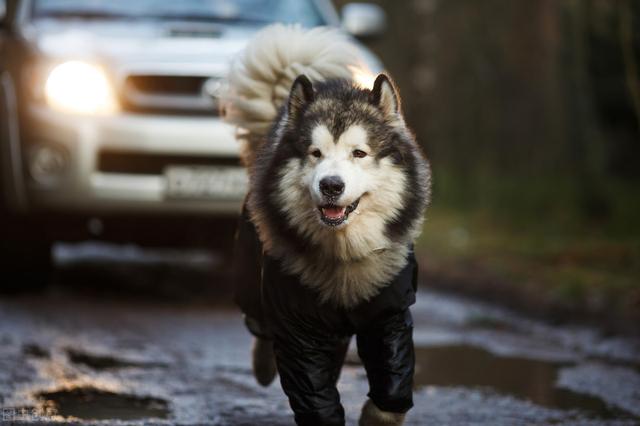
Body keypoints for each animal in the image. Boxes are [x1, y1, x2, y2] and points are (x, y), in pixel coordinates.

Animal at [222, 25, 432, 424]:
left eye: (359, 153)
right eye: (315, 153)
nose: (331, 185)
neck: (343, 254)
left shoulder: (389, 314)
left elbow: (393, 388)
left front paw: (378, 414)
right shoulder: (297, 324)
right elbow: (314, 395)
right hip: (251, 284)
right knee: (261, 328)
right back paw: (263, 363)